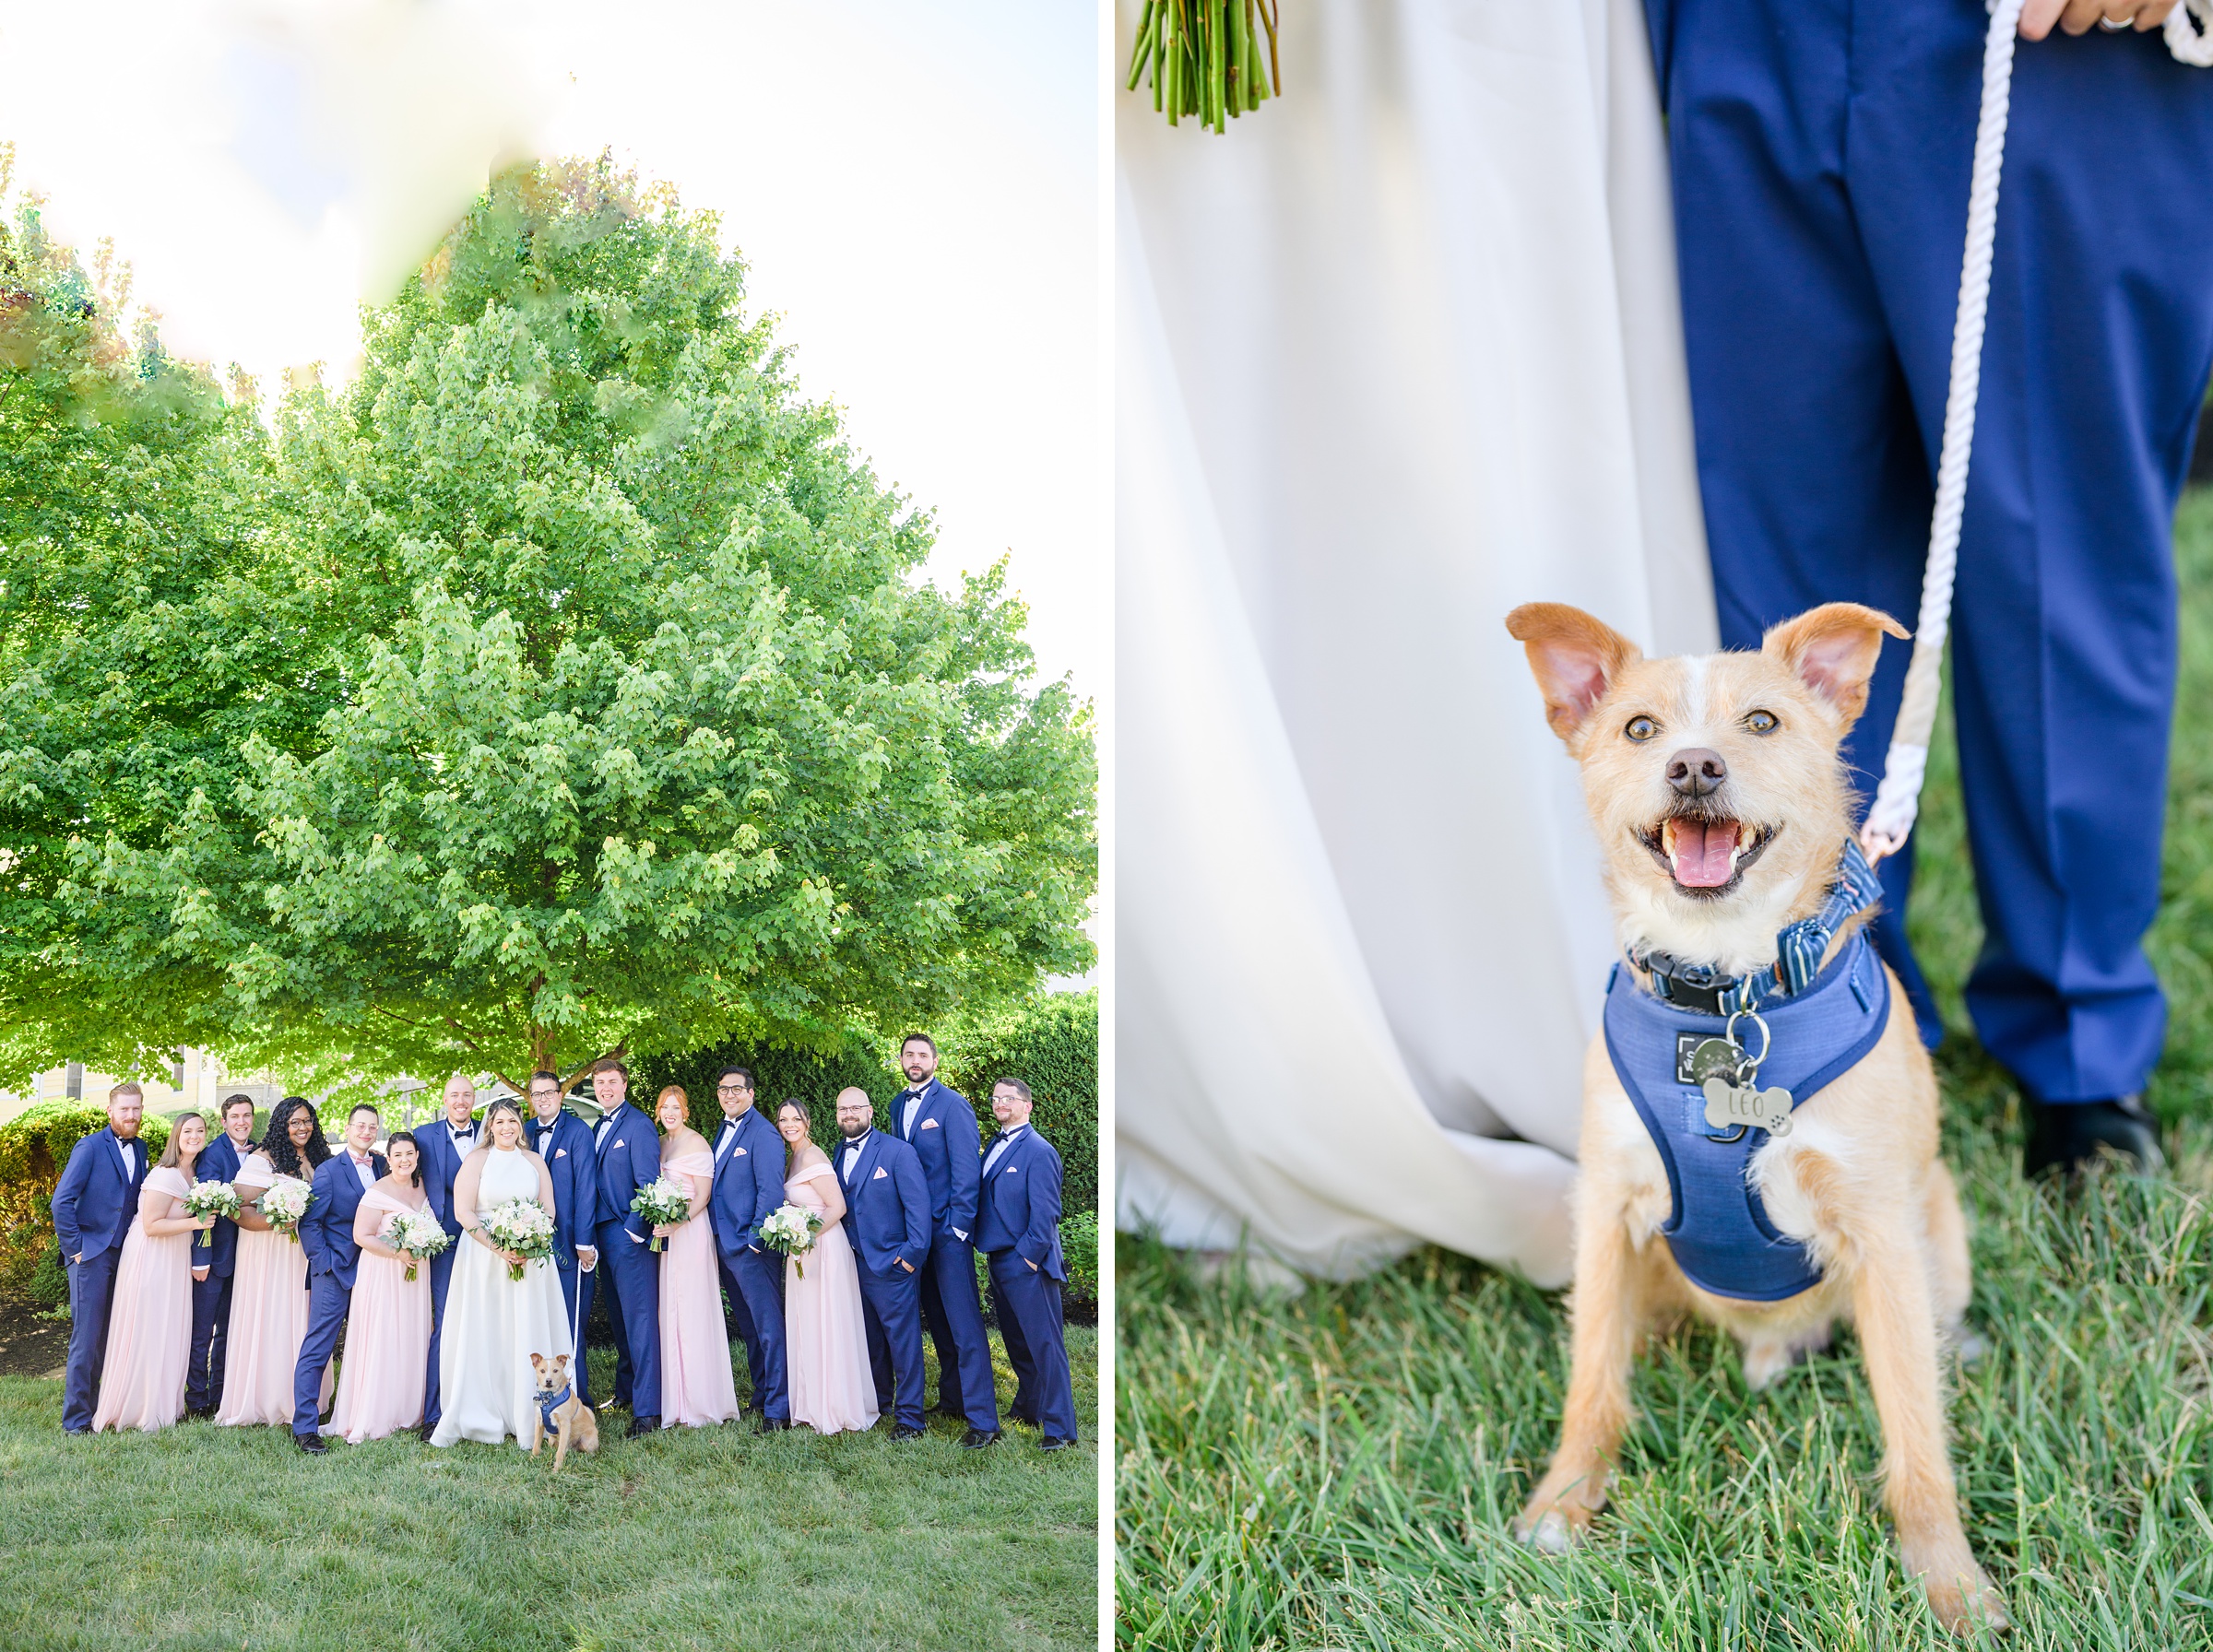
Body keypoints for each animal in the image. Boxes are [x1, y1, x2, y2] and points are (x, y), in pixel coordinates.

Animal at [528, 1353, 601, 1477]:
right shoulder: (539, 1422)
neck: (549, 1398)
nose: (548, 1380)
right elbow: (536, 1444)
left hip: (586, 1441)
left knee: (587, 1451)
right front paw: (532, 1460)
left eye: (555, 1370)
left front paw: (556, 1470)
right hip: (551, 1440)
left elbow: (560, 1450)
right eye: (542, 1371)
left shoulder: (564, 1424)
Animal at [1505, 601, 2009, 1636]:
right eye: (1640, 728)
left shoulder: (1881, 1233)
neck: (1727, 988)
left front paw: (1949, 1580)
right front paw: (1564, 1504)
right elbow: (1590, 1381)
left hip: (1937, 1222)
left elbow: (1916, 1433)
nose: (1695, 766)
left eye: (1764, 722)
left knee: (1934, 1327)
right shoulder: (1607, 1213)